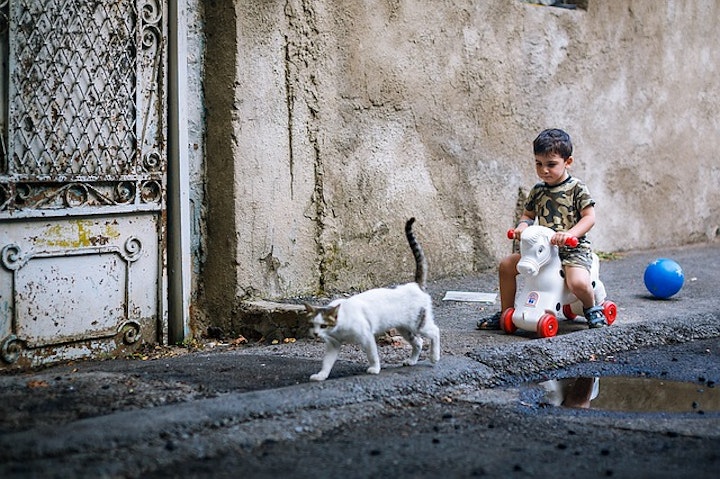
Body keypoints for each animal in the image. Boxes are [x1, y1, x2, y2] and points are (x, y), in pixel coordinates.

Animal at [304, 218, 438, 382]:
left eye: (323, 326)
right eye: (312, 324)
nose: (316, 334)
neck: (340, 326)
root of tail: (415, 285)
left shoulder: (366, 336)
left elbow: (372, 355)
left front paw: (375, 368)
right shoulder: (333, 344)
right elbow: (327, 362)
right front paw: (322, 375)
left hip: (418, 324)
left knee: (435, 332)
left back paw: (434, 356)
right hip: (405, 328)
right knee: (418, 342)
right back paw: (412, 361)